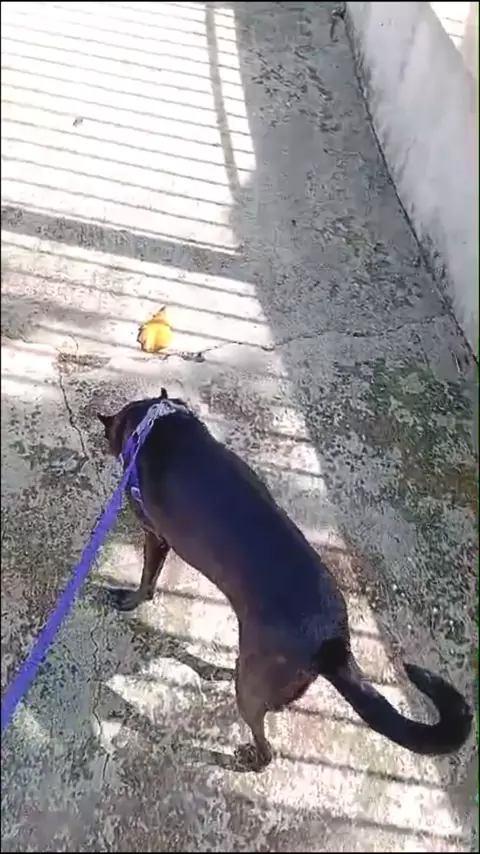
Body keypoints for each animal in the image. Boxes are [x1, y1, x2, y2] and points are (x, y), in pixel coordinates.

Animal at [97, 390, 472, 770]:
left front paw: (130, 600)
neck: (158, 421)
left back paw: (251, 758)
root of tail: (331, 641)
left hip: (251, 686)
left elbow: (147, 579)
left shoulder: (154, 535)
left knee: (265, 744)